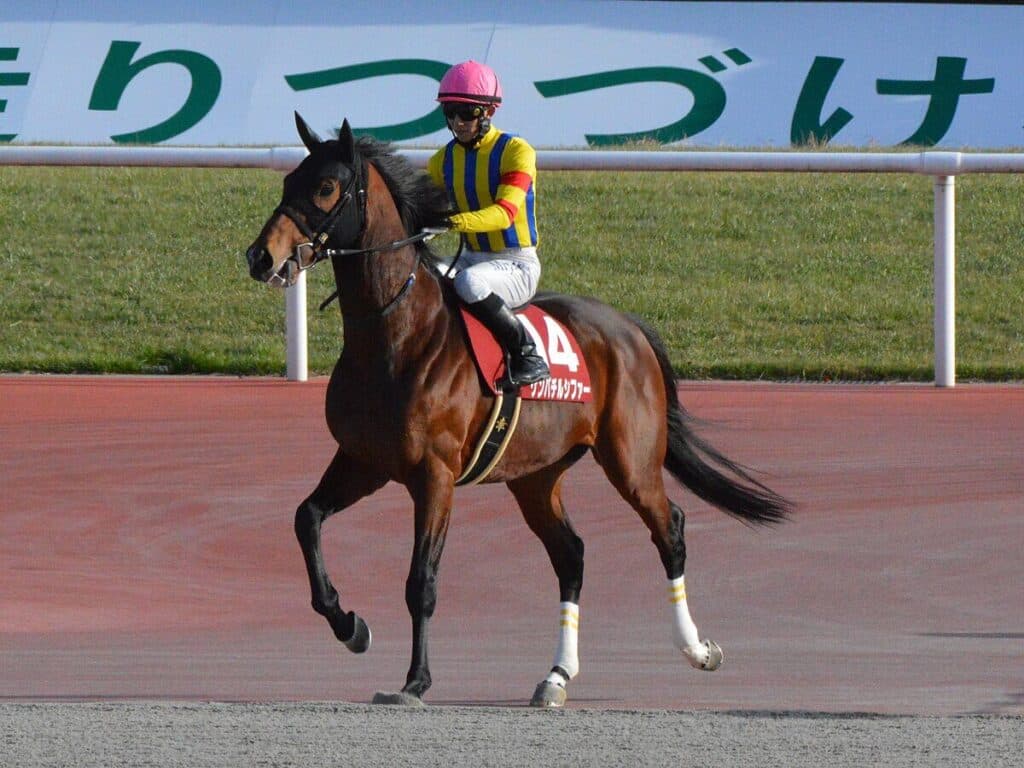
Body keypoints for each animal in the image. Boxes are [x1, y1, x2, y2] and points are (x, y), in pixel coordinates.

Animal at [244, 114, 792, 707]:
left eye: (325, 187)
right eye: (288, 181)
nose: (261, 257)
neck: (396, 335)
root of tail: (629, 327)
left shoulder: (433, 475)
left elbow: (421, 581)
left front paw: (415, 680)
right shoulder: (363, 460)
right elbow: (306, 519)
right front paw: (351, 626)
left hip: (631, 459)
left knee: (669, 529)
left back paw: (696, 649)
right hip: (536, 475)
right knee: (571, 554)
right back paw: (556, 676)